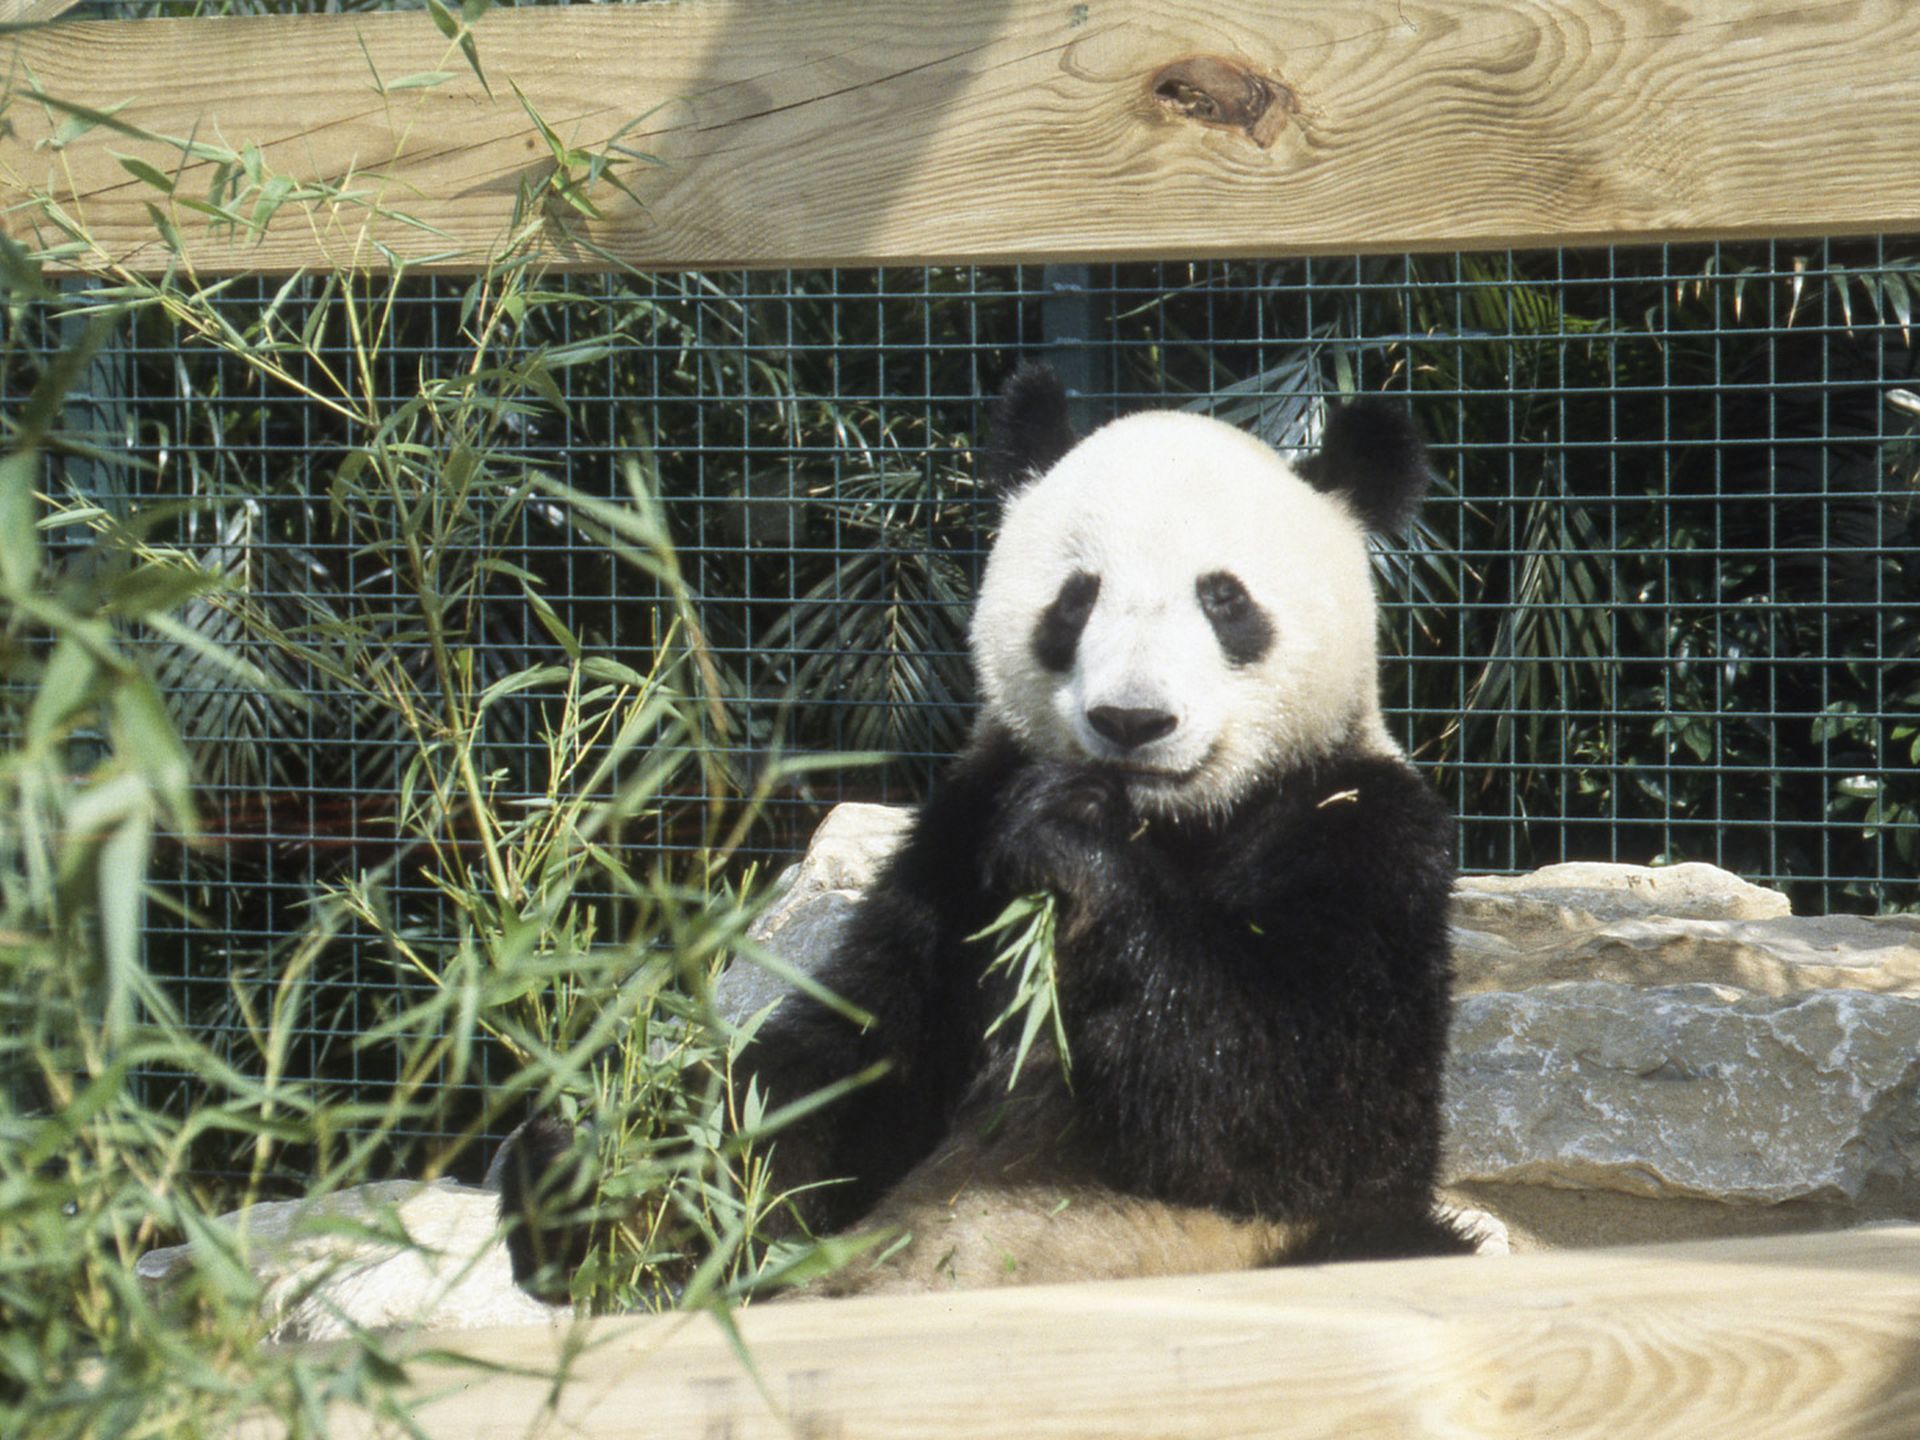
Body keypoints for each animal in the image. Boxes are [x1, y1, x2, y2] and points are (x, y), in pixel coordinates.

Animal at [504, 363, 1470, 1297]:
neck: (1171, 822)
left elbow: (1303, 1104)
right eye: (1075, 601)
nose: (1132, 721)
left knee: (1395, 1242)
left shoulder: (1364, 831)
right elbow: (843, 1069)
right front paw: (600, 1189)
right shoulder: (954, 846)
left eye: (1224, 600)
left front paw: (1072, 844)